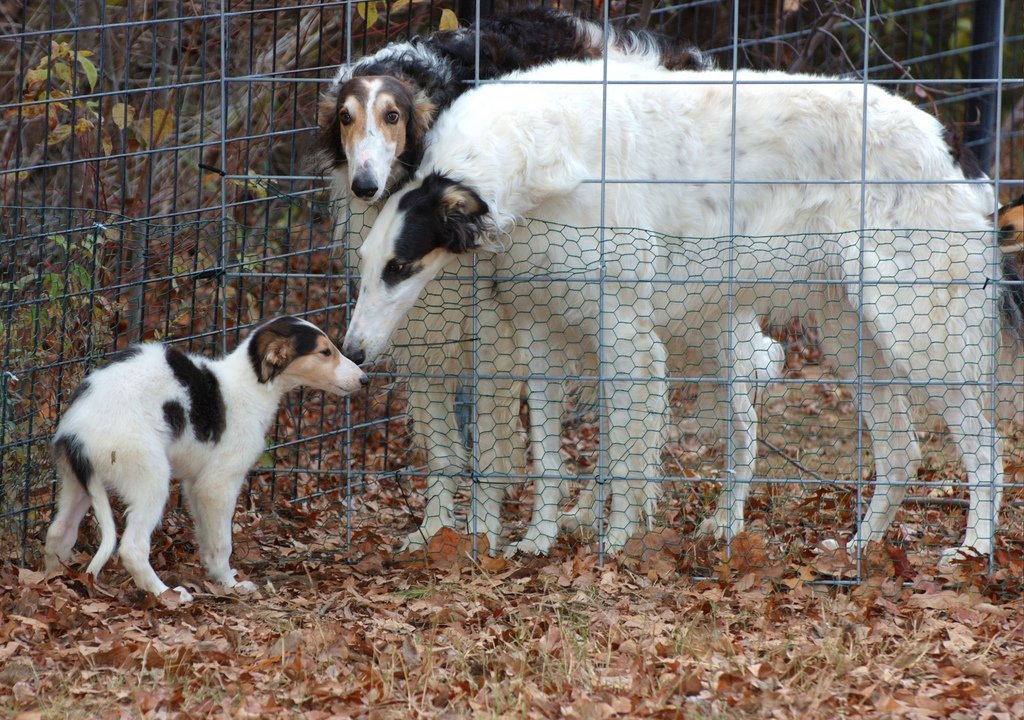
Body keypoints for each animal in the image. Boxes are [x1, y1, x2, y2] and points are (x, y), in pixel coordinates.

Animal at [48, 315, 370, 602]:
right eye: (325, 352)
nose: (365, 379)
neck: (249, 386)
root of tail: (76, 434)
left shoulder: (196, 485)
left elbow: (208, 541)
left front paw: (217, 577)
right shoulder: (218, 485)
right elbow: (222, 543)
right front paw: (231, 585)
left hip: (78, 484)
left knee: (58, 532)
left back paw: (54, 580)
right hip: (150, 479)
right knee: (132, 547)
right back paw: (166, 593)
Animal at [342, 57, 1007, 565]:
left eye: (399, 268)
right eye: (366, 265)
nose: (352, 352)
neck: (536, 153)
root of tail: (946, 146)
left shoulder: (624, 334)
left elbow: (623, 456)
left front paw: (615, 542)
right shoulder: (542, 333)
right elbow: (551, 461)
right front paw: (536, 542)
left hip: (916, 334)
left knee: (986, 449)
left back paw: (972, 549)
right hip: (852, 333)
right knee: (900, 452)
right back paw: (858, 546)